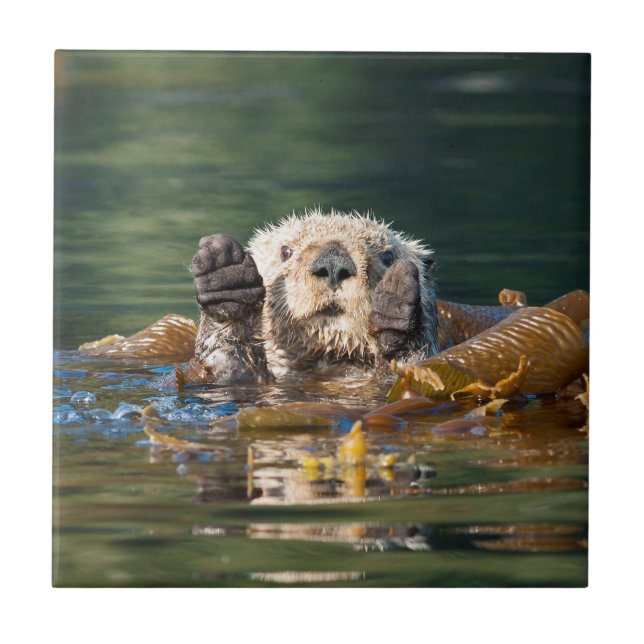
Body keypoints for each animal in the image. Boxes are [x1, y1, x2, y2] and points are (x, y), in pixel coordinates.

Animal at [191, 209, 439, 383]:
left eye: (388, 257)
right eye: (286, 251)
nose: (333, 262)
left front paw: (395, 307)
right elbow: (226, 365)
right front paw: (226, 277)